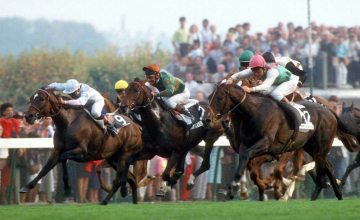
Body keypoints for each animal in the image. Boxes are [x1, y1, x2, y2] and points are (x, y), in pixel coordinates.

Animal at [207, 83, 360, 200]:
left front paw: (276, 186)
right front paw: (233, 190)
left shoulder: (267, 145)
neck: (254, 113)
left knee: (321, 175)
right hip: (312, 148)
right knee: (327, 168)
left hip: (320, 148)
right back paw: (337, 195)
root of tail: (330, 111)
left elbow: (272, 169)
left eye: (220, 98)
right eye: (209, 97)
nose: (208, 118)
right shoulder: (245, 145)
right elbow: (246, 166)